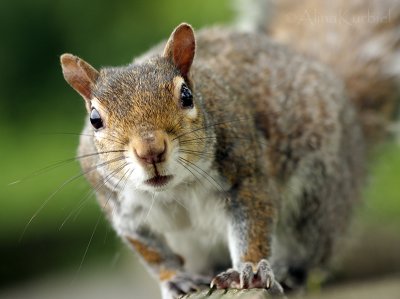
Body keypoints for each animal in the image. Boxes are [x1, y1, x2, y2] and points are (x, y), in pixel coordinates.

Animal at [59, 1, 400, 298]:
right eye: (95, 119)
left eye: (186, 95)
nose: (150, 151)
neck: (176, 188)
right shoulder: (124, 211)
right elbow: (152, 253)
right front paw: (175, 279)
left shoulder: (245, 174)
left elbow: (253, 224)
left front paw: (249, 269)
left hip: (315, 197)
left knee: (314, 254)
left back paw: (290, 271)